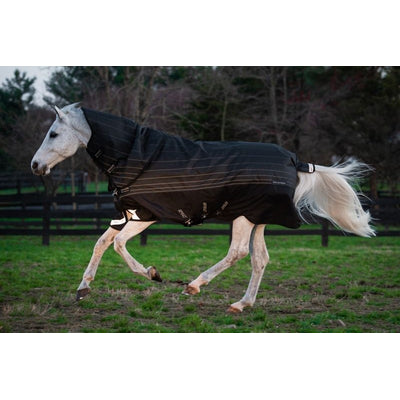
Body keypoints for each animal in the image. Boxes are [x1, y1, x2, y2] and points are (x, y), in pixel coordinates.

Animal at [31, 103, 375, 313]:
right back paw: (241, 304)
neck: (134, 154)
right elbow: (101, 243)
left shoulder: (145, 215)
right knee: (260, 259)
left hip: (244, 216)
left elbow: (117, 245)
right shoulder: (125, 214)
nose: (35, 166)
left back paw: (195, 286)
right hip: (258, 218)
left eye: (54, 133)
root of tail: (295, 161)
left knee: (238, 252)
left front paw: (153, 274)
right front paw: (83, 289)